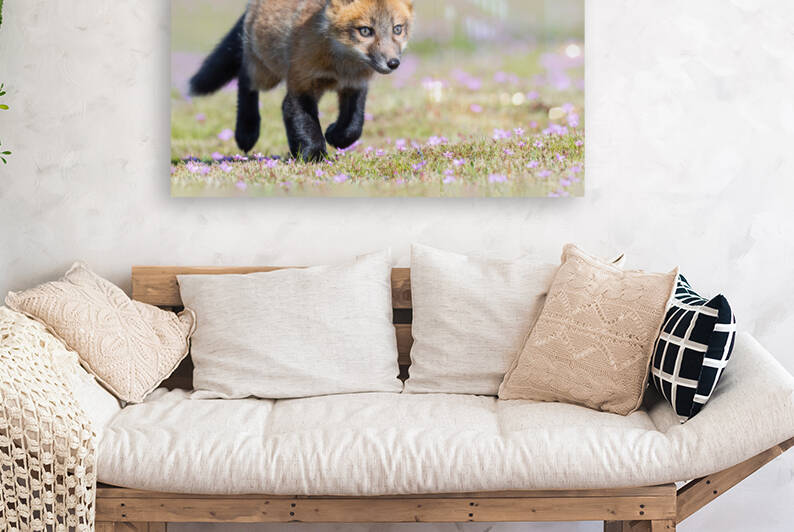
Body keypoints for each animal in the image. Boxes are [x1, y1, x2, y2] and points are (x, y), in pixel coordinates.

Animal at [189, 0, 414, 162]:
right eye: (365, 30)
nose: (393, 63)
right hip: (266, 73)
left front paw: (334, 136)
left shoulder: (355, 86)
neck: (341, 68)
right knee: (245, 81)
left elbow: (353, 126)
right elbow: (306, 124)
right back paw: (247, 131)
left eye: (397, 29)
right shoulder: (301, 85)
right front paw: (314, 156)